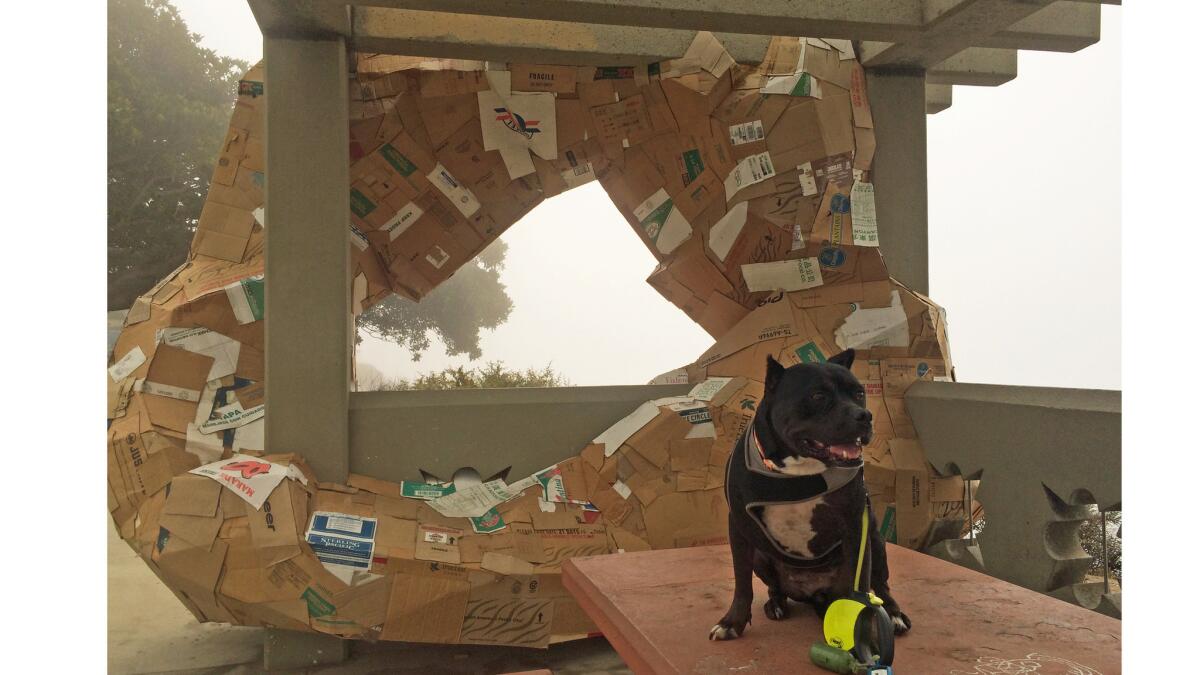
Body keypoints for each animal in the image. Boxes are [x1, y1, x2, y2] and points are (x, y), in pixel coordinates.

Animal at [710, 348, 907, 638]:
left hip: (876, 542)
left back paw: (893, 615)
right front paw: (732, 622)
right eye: (818, 396)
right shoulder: (739, 526)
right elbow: (742, 581)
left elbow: (861, 582)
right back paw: (776, 604)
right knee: (775, 587)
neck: (799, 470)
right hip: (761, 555)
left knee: (880, 585)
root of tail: (815, 594)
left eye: (859, 393)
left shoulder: (856, 526)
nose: (864, 415)